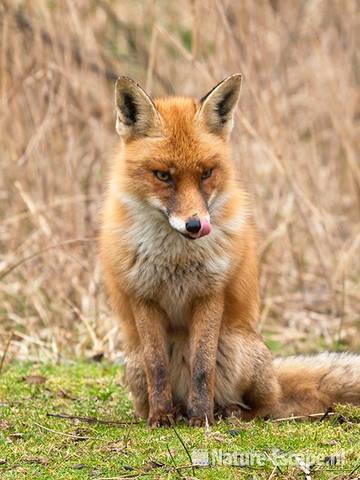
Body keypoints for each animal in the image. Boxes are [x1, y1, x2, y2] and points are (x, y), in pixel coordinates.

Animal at [99, 73, 360, 426]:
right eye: (163, 176)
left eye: (206, 173)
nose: (195, 225)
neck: (176, 259)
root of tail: (275, 376)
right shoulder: (143, 296)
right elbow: (158, 366)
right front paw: (161, 417)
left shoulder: (211, 293)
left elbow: (202, 365)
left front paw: (201, 419)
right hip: (135, 362)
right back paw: (177, 411)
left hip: (238, 348)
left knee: (267, 407)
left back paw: (227, 412)